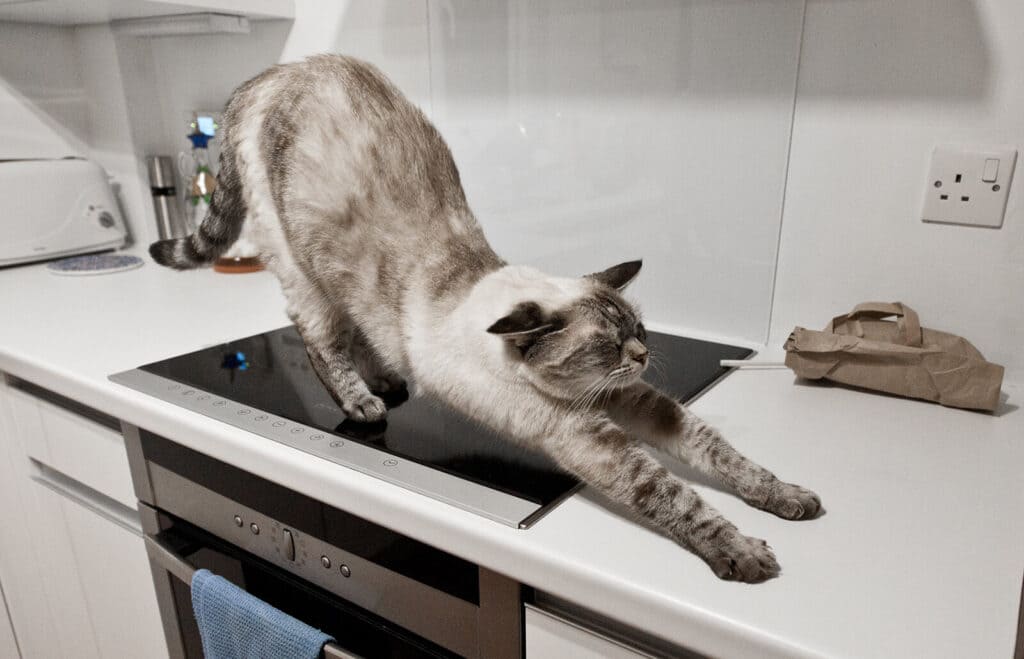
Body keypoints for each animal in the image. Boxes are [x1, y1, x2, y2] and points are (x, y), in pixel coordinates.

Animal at [151, 55, 819, 581]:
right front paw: (744, 553)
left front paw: (786, 497)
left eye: (638, 331)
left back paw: (386, 381)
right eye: (606, 344)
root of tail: (276, 71)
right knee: (318, 337)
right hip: (302, 269)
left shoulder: (638, 404)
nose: (643, 357)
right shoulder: (590, 436)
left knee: (363, 327)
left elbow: (724, 458)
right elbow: (679, 499)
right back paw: (362, 403)